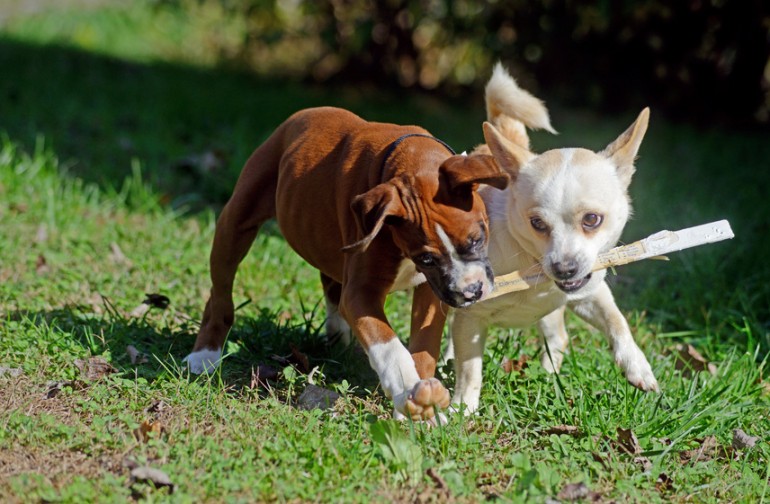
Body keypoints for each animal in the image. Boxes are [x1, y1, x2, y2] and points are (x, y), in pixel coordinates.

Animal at [183, 106, 508, 422]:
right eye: (425, 258)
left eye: (478, 239)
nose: (471, 292)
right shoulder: (362, 293)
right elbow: (390, 349)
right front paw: (409, 393)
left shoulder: (430, 294)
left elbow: (425, 346)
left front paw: (424, 403)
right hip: (235, 222)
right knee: (220, 292)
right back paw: (205, 354)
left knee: (330, 283)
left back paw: (338, 336)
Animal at [450, 66, 660, 414]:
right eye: (537, 223)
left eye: (592, 220)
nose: (564, 268)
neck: (532, 271)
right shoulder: (470, 319)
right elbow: (469, 371)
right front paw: (460, 411)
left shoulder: (590, 294)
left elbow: (618, 322)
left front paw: (638, 366)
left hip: (552, 315)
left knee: (557, 338)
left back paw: (550, 378)